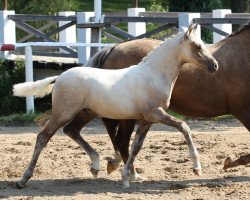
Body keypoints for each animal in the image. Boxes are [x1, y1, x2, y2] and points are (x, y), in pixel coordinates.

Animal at [12, 23, 218, 188]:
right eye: (197, 46)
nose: (214, 65)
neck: (153, 74)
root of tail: (60, 76)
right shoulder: (156, 114)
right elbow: (184, 127)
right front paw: (197, 168)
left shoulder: (146, 120)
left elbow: (135, 146)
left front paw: (127, 177)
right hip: (63, 113)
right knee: (43, 137)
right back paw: (23, 180)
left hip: (85, 113)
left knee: (71, 131)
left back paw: (96, 165)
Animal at [62, 21, 250, 173]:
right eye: (197, 47)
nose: (214, 66)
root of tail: (114, 48)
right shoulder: (243, 111)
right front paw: (229, 162)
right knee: (119, 138)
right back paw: (124, 169)